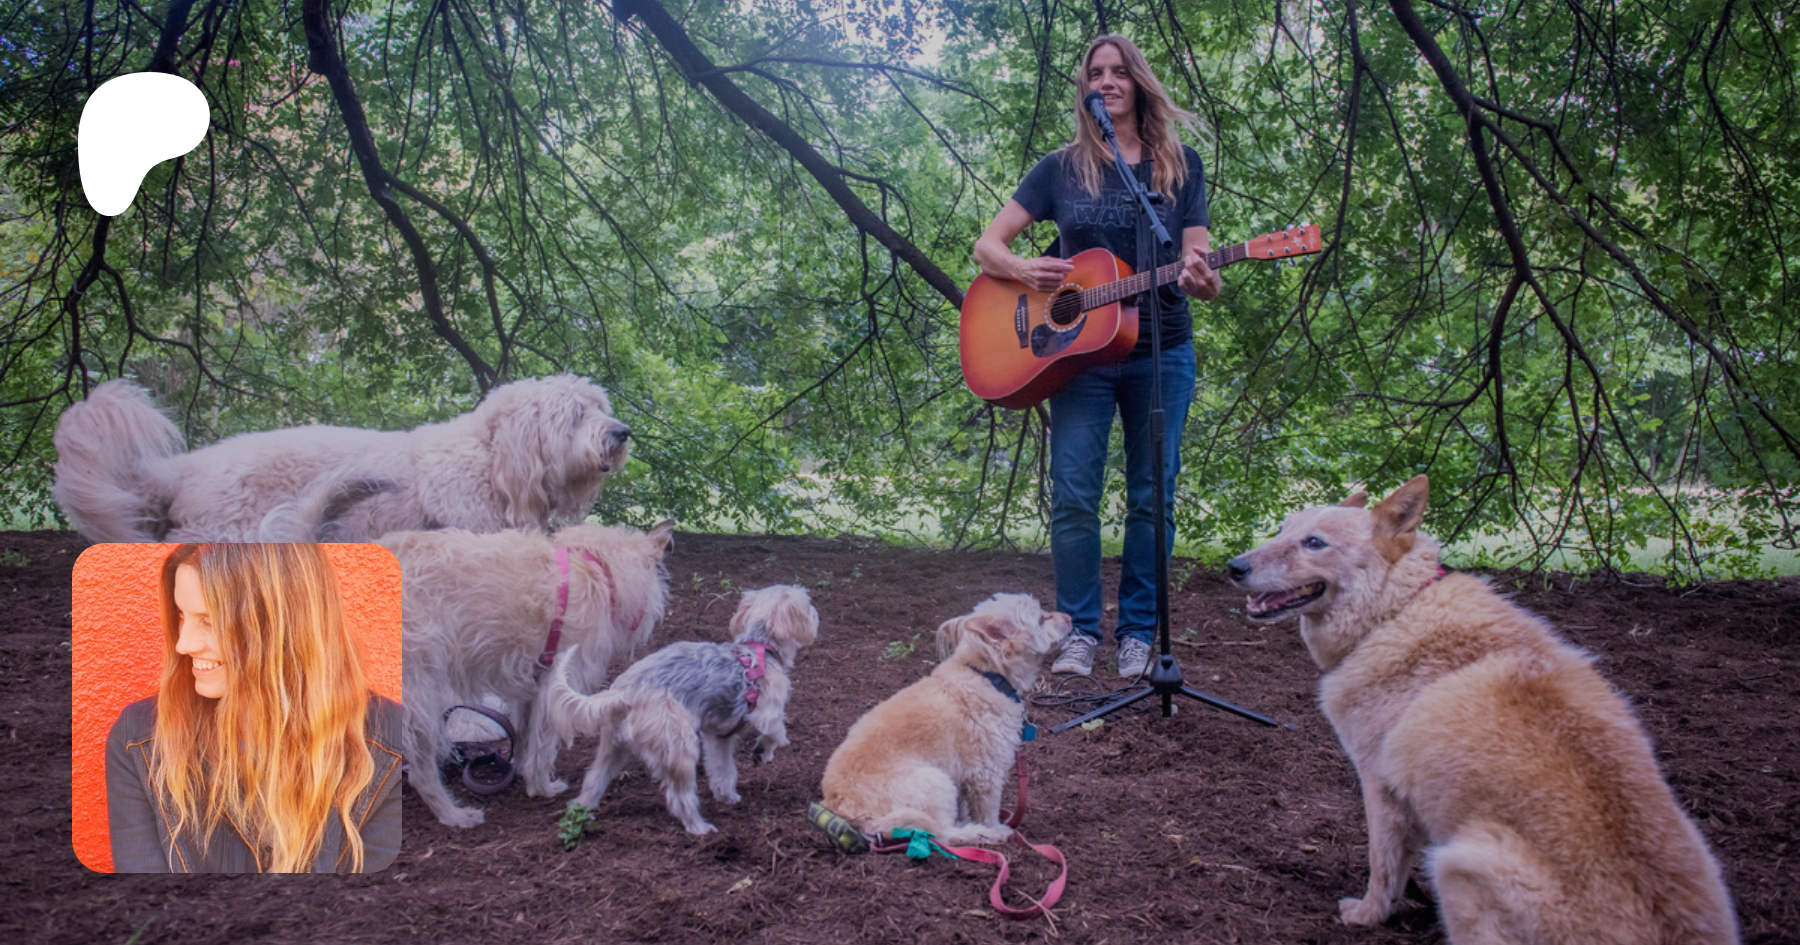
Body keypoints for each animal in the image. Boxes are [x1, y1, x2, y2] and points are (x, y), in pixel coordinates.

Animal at [385, 520, 674, 828]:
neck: (598, 567)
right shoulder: (557, 684)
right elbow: (543, 745)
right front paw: (541, 786)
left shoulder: (532, 684)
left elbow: (525, 734)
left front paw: (520, 769)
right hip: (419, 699)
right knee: (421, 772)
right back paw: (455, 815)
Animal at [546, 585, 819, 835]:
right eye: (807, 605)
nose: (816, 612)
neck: (759, 647)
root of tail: (625, 692)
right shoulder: (766, 712)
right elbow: (776, 733)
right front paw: (764, 751)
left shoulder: (718, 737)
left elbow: (723, 770)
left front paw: (727, 796)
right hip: (679, 747)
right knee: (680, 798)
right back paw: (699, 827)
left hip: (612, 748)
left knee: (593, 781)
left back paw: (582, 812)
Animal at [820, 593, 1070, 846]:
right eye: (1041, 618)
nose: (1069, 617)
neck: (986, 675)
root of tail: (841, 808)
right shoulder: (985, 773)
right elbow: (987, 811)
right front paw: (995, 828)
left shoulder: (964, 777)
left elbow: (965, 808)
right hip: (935, 783)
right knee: (942, 834)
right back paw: (981, 834)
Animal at [1227, 475, 1738, 944]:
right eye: (1280, 529)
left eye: (1314, 543)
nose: (1234, 566)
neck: (1395, 610)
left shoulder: (1380, 785)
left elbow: (1384, 867)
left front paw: (1369, 915)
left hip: (1456, 865)